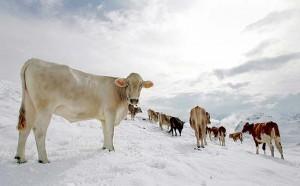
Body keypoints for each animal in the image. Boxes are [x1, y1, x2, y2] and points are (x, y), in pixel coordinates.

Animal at [15, 57, 154, 163]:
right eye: (127, 84)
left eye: (141, 85)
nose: (134, 100)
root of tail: (33, 60)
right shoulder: (110, 112)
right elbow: (110, 132)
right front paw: (111, 150)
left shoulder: (104, 118)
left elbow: (105, 132)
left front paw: (105, 148)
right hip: (45, 108)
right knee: (39, 132)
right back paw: (44, 160)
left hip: (30, 104)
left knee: (25, 129)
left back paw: (20, 158)